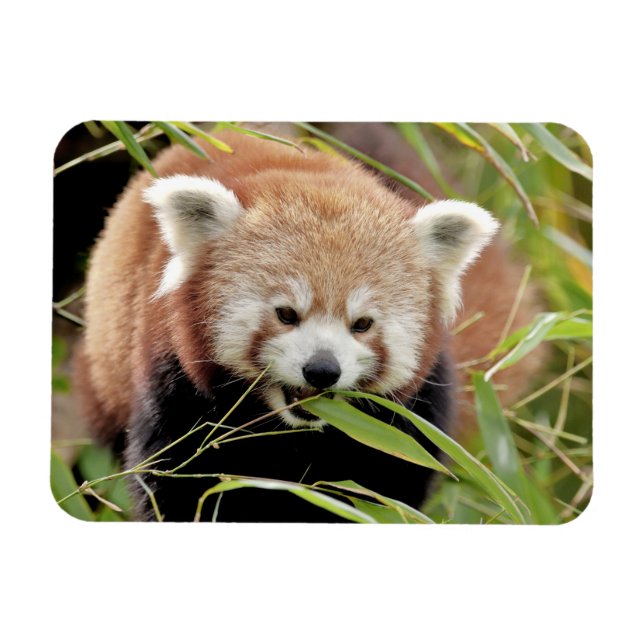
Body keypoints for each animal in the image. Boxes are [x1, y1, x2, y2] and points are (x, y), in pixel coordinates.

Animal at [73, 125, 540, 522]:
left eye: (362, 324)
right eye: (286, 314)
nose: (321, 370)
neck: (296, 435)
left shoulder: (409, 417)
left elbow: (388, 489)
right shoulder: (175, 385)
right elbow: (178, 485)